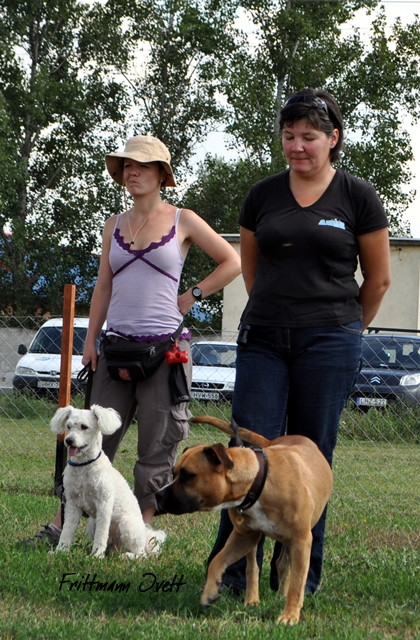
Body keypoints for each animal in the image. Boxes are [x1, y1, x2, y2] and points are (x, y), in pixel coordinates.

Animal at [50, 408, 166, 556]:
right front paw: (61, 551)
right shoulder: (72, 504)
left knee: (141, 554)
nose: (69, 440)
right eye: (68, 426)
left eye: (84, 427)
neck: (84, 467)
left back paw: (126, 556)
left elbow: (101, 534)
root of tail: (146, 536)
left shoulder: (104, 505)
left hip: (127, 525)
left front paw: (96, 555)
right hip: (92, 524)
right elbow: (67, 530)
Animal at [156, 416, 334, 624]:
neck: (259, 481)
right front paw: (210, 592)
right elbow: (217, 560)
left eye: (187, 475)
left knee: (284, 564)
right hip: (252, 540)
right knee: (254, 568)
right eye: (174, 473)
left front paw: (290, 615)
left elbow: (297, 583)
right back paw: (252, 599)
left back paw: (281, 596)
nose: (158, 495)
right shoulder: (243, 537)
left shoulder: (300, 541)